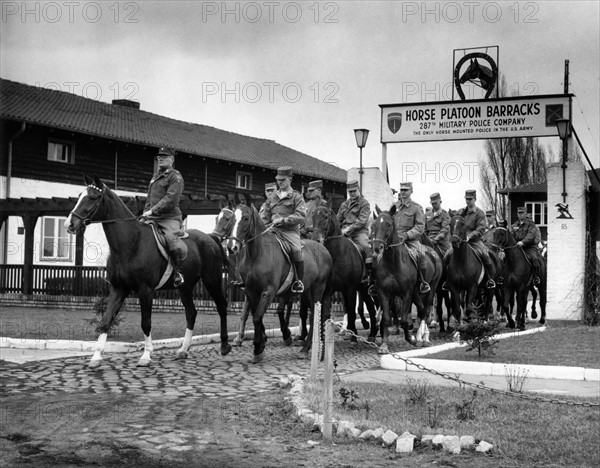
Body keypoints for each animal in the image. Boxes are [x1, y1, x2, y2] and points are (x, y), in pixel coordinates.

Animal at [64, 177, 231, 368]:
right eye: (79, 196)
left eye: (92, 197)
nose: (69, 224)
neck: (131, 243)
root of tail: (210, 237)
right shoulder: (118, 288)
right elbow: (105, 320)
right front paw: (96, 357)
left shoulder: (145, 290)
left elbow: (146, 323)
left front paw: (146, 355)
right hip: (185, 287)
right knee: (191, 313)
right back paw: (183, 350)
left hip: (212, 280)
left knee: (221, 306)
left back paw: (224, 346)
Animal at [212, 204, 294, 348]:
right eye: (217, 218)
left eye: (227, 218)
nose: (215, 235)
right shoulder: (249, 290)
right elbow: (247, 313)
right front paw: (243, 337)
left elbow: (250, 312)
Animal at [229, 201, 332, 362]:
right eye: (232, 219)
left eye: (246, 218)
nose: (231, 247)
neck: (257, 254)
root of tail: (323, 248)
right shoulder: (251, 292)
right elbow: (256, 316)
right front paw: (261, 346)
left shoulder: (269, 292)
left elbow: (257, 317)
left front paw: (258, 348)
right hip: (306, 292)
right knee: (314, 314)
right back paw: (312, 347)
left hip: (318, 288)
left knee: (315, 314)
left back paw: (306, 348)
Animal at [312, 206, 378, 344]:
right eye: (313, 216)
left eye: (325, 217)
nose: (316, 239)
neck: (338, 254)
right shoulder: (329, 290)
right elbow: (326, 313)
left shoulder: (351, 289)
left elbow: (352, 312)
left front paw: (353, 337)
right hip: (363, 289)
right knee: (370, 307)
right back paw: (372, 333)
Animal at [368, 207, 442, 352]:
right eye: (373, 225)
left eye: (388, 224)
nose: (377, 249)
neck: (393, 262)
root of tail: (433, 252)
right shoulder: (383, 292)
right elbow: (386, 318)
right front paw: (384, 345)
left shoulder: (406, 293)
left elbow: (404, 320)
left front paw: (411, 339)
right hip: (416, 293)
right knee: (422, 309)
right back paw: (421, 336)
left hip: (432, 288)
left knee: (426, 309)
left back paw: (424, 338)